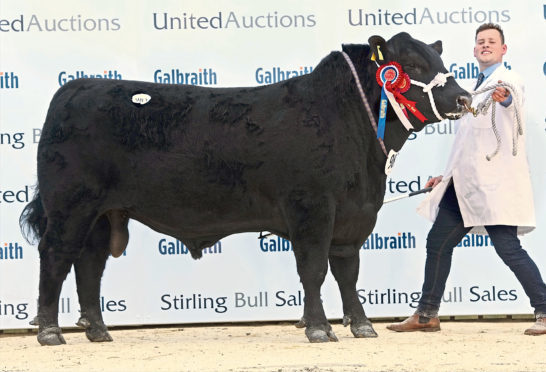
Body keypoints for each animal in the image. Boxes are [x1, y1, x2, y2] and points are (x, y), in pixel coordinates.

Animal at [20, 32, 468, 346]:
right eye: (412, 63)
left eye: (439, 59)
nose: (463, 97)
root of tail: (74, 88)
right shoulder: (311, 207)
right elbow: (314, 269)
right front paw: (319, 329)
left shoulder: (353, 215)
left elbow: (347, 272)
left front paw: (361, 325)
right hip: (70, 205)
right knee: (55, 257)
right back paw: (50, 332)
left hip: (101, 213)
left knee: (89, 264)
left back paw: (98, 330)